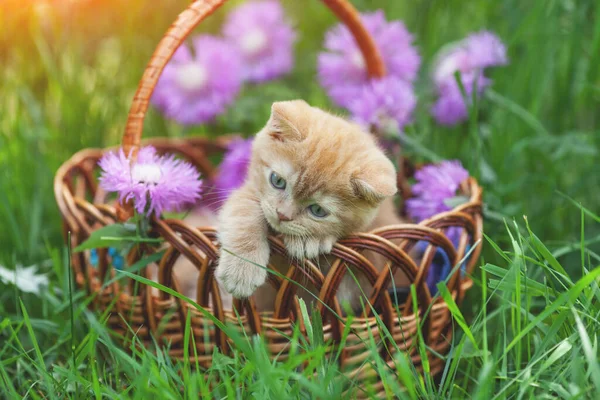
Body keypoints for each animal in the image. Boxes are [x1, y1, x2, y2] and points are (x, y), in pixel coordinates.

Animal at [213, 100, 400, 300]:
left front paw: (310, 240)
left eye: (318, 211)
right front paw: (241, 269)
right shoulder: (250, 192)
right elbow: (243, 213)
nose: (282, 215)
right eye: (277, 181)